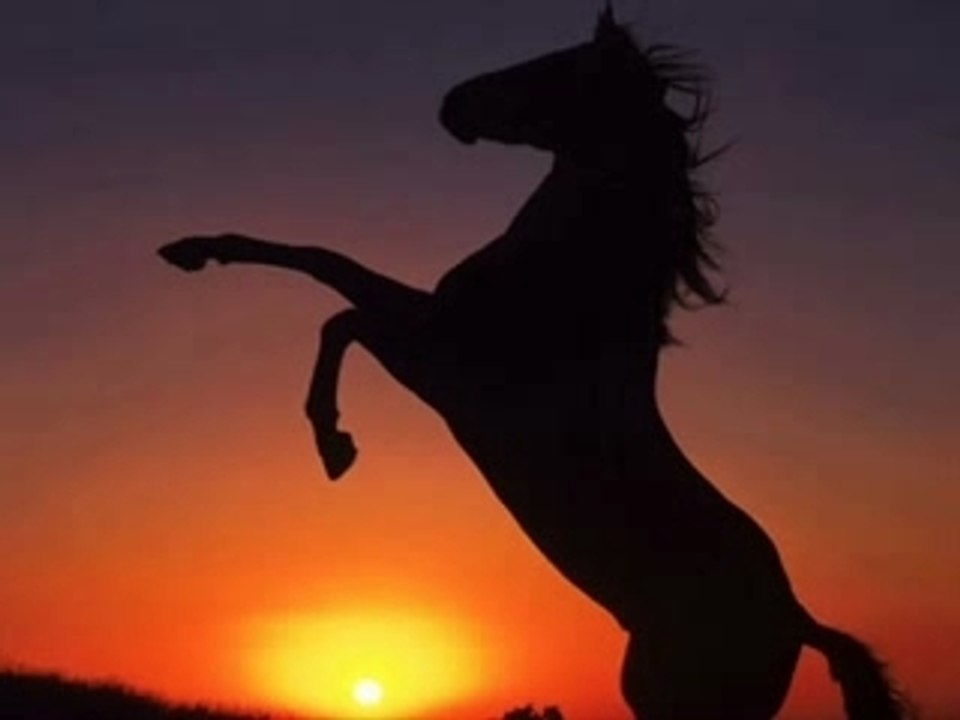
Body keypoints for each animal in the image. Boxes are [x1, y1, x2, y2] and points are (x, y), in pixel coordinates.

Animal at [158, 8, 913, 720]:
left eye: (557, 67)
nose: (454, 101)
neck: (561, 290)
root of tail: (798, 621)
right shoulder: (426, 326)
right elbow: (324, 265)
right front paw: (191, 250)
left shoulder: (437, 362)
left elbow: (338, 312)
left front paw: (334, 445)